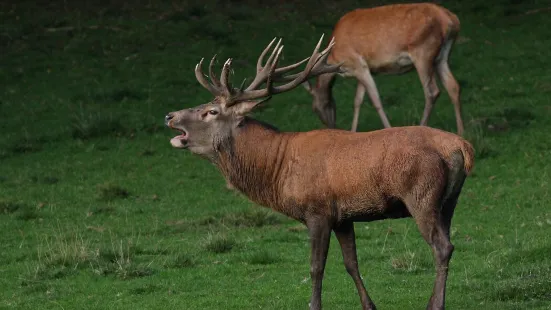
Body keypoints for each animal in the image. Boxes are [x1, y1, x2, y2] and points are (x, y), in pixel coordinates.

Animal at [167, 35, 474, 310]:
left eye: (211, 111)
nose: (170, 115)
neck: (278, 170)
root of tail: (462, 146)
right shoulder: (343, 217)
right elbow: (351, 263)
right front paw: (369, 305)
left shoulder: (317, 211)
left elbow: (316, 267)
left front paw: (314, 305)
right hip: (450, 200)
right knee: (447, 242)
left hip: (421, 195)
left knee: (441, 247)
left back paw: (435, 304)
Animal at [302, 2, 466, 136]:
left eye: (315, 108)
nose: (330, 127)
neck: (333, 57)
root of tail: (451, 20)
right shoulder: (365, 69)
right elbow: (357, 100)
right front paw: (353, 131)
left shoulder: (357, 64)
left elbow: (375, 100)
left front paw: (388, 128)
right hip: (442, 56)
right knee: (453, 86)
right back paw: (461, 132)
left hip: (423, 51)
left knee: (432, 91)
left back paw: (423, 126)